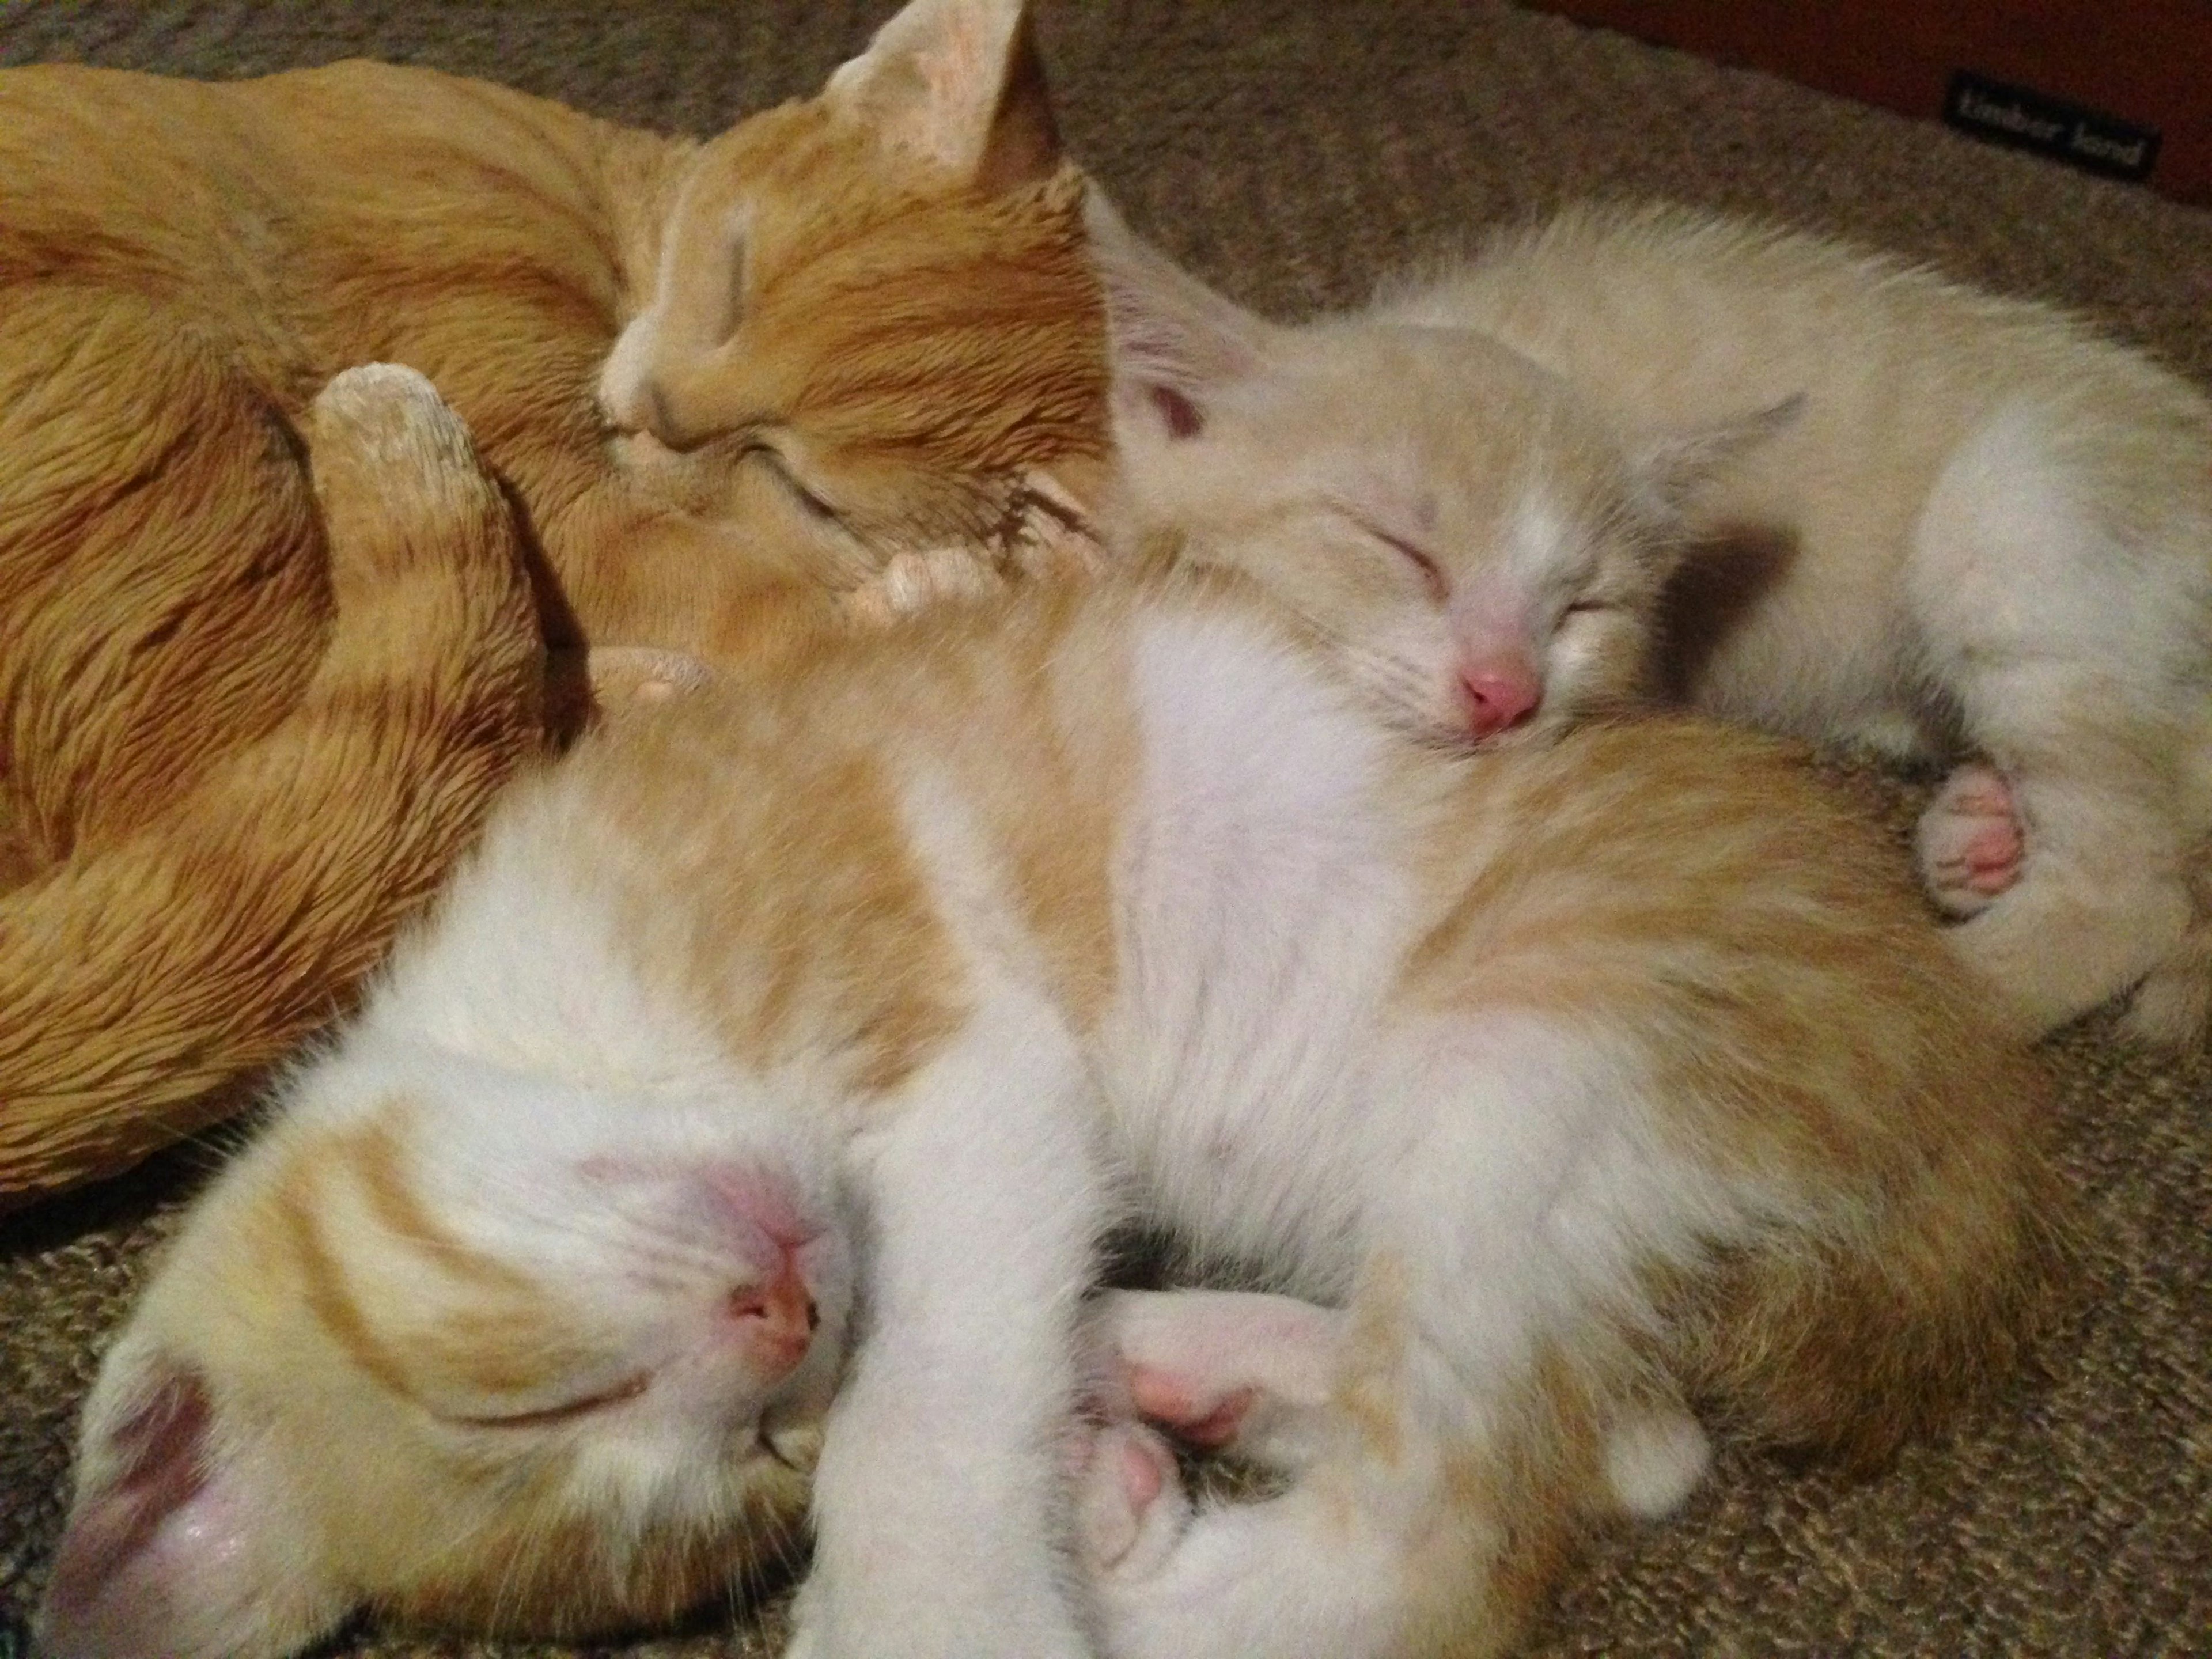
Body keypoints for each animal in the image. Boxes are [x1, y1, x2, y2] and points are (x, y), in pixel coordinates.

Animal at [47, 407, 2052, 1659]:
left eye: (531, 1399)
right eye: (748, 1462)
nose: (780, 1311)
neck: (576, 1017)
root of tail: (1967, 1120)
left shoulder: (962, 1054)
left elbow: (932, 1408)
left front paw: (942, 1601)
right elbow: (962, 1353)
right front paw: (1075, 1428)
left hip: (1539, 1066)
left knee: (1439, 1540)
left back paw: (1148, 1568)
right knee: (1623, 1440)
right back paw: (1165, 1402)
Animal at [1088, 198, 2212, 1052]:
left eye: (1580, 607)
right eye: (1406, 550)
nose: (1505, 693)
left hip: (2012, 505)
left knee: (2134, 887)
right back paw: (1980, 829)